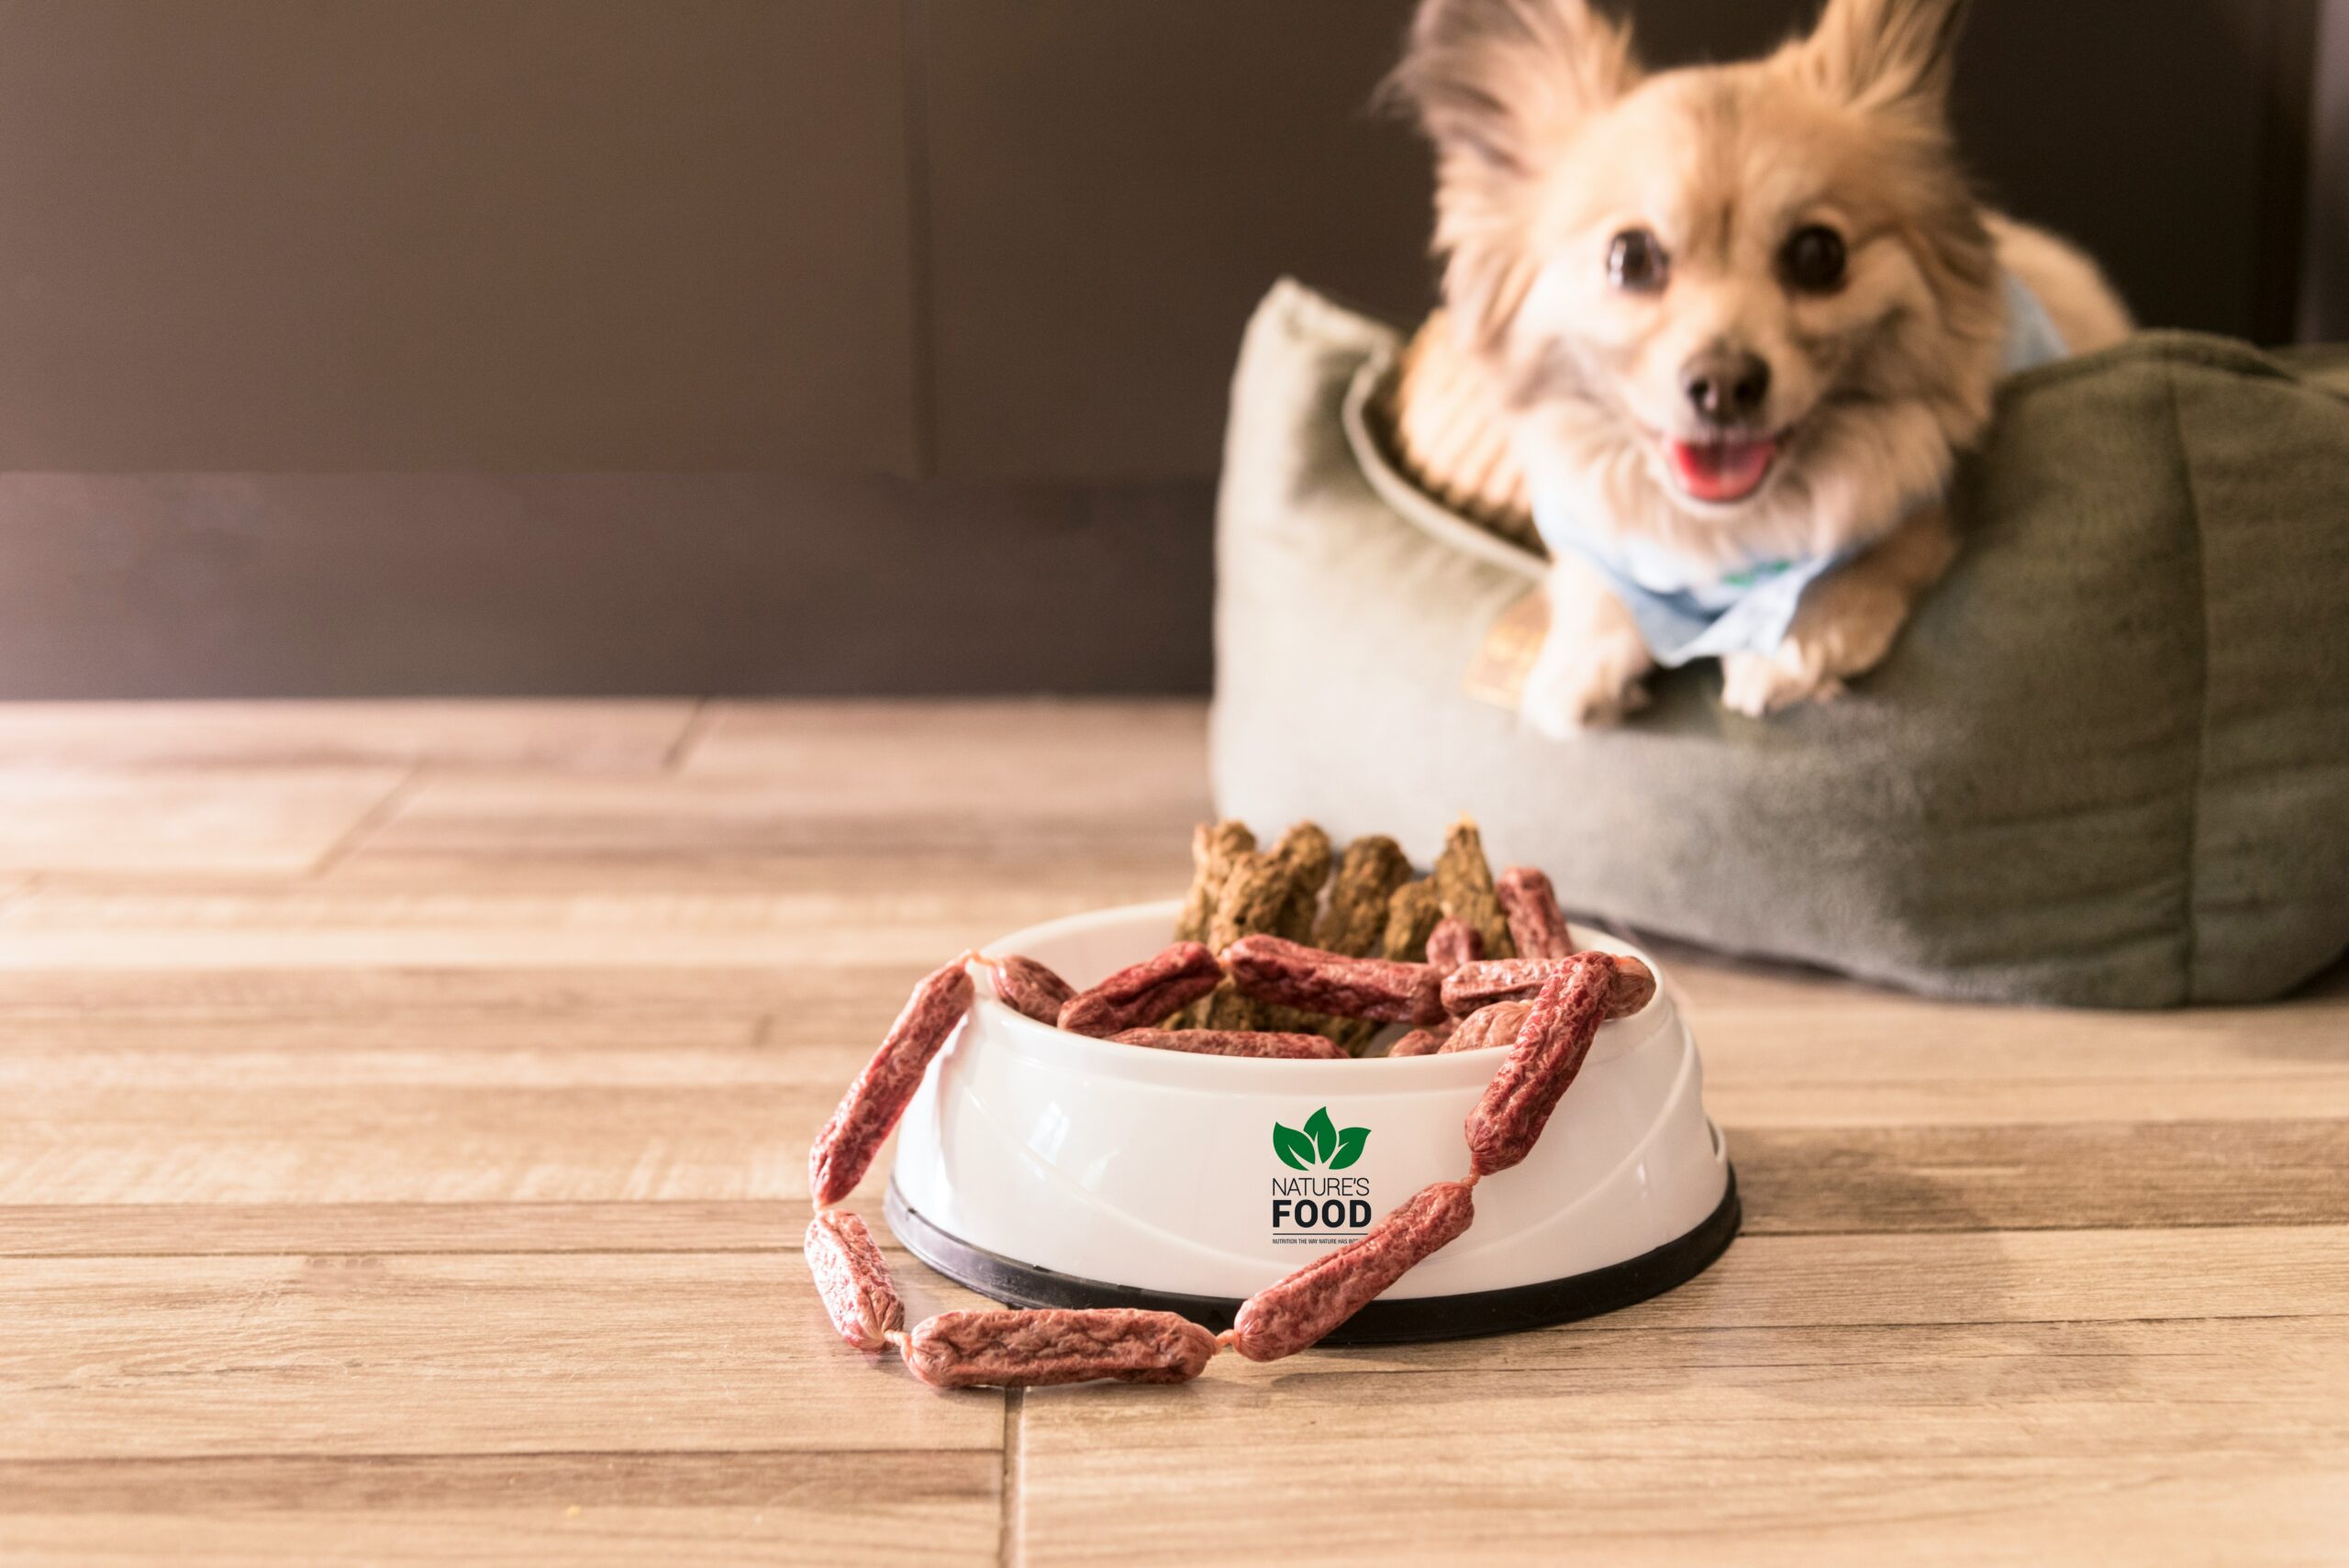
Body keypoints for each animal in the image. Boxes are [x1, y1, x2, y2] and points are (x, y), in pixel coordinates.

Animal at [1381, 0, 2142, 728]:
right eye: (1631, 258)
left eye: (1819, 255)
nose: (1723, 384)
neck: (1730, 543)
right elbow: (1592, 576)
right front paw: (1579, 662)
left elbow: (1883, 539)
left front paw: (1796, 639)